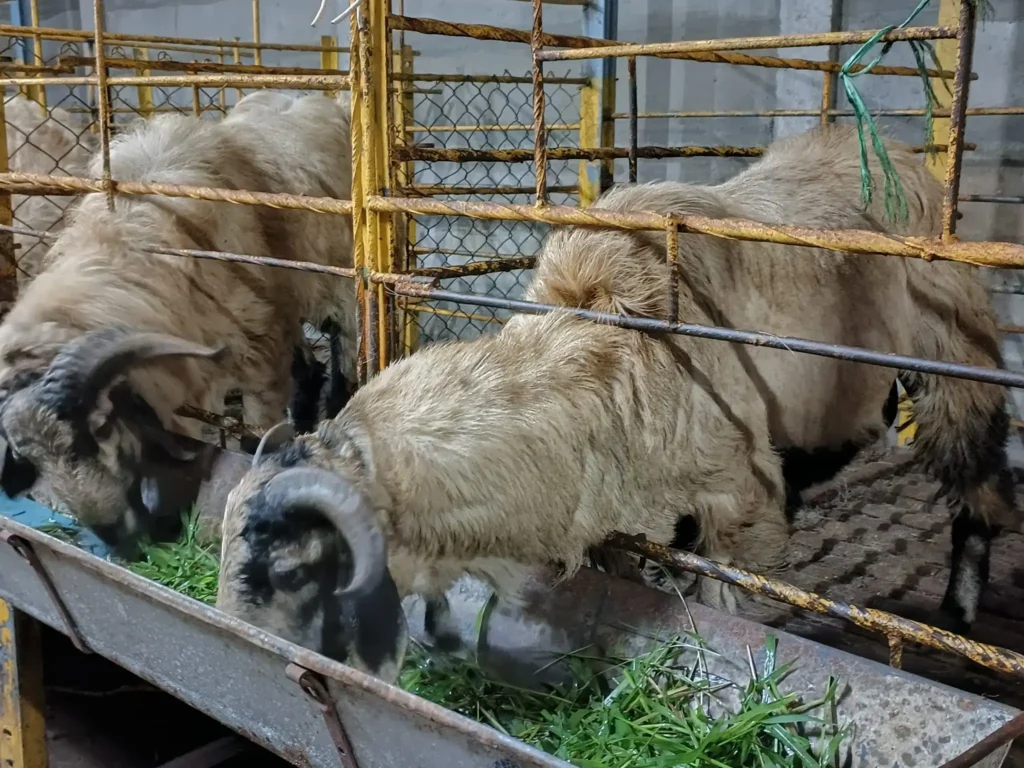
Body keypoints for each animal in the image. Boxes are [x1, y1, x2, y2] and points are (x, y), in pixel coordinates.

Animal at [531, 123, 1015, 635]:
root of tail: (890, 151)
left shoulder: (733, 465)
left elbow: (718, 571)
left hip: (954, 355)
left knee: (978, 482)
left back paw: (956, 613)